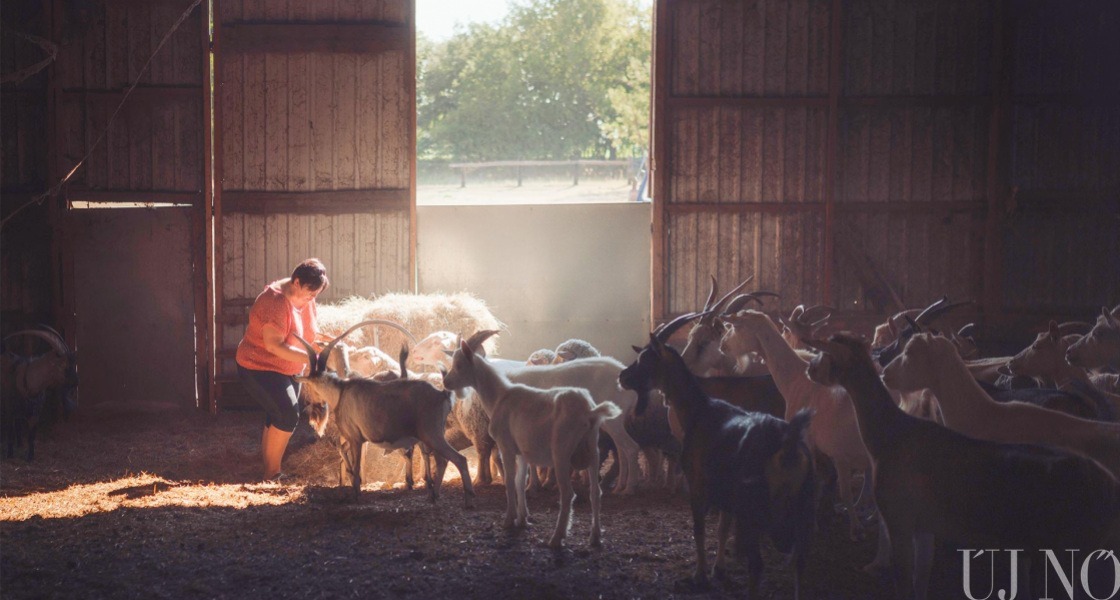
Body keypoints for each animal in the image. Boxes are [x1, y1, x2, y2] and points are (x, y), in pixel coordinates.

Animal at [288, 317, 472, 505]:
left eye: (310, 386)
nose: (314, 407)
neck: (341, 390)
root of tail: (443, 394)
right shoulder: (357, 438)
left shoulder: (355, 437)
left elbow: (353, 461)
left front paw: (355, 490)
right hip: (432, 435)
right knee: (439, 459)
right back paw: (431, 492)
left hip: (431, 433)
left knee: (457, 459)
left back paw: (463, 498)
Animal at [443, 333, 622, 548]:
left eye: (459, 364)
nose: (446, 383)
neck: (500, 396)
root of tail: (590, 412)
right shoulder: (522, 452)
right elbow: (520, 482)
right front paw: (523, 518)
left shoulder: (506, 446)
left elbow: (510, 482)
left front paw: (509, 519)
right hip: (592, 450)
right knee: (595, 492)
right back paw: (595, 537)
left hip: (562, 453)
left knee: (568, 494)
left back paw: (557, 537)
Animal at [622, 333, 815, 595]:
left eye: (645, 358)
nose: (622, 376)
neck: (699, 410)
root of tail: (788, 445)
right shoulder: (726, 494)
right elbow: (722, 529)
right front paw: (719, 569)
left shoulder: (697, 483)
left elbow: (699, 529)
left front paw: (700, 574)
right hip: (803, 508)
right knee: (800, 564)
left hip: (754, 511)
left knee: (757, 565)